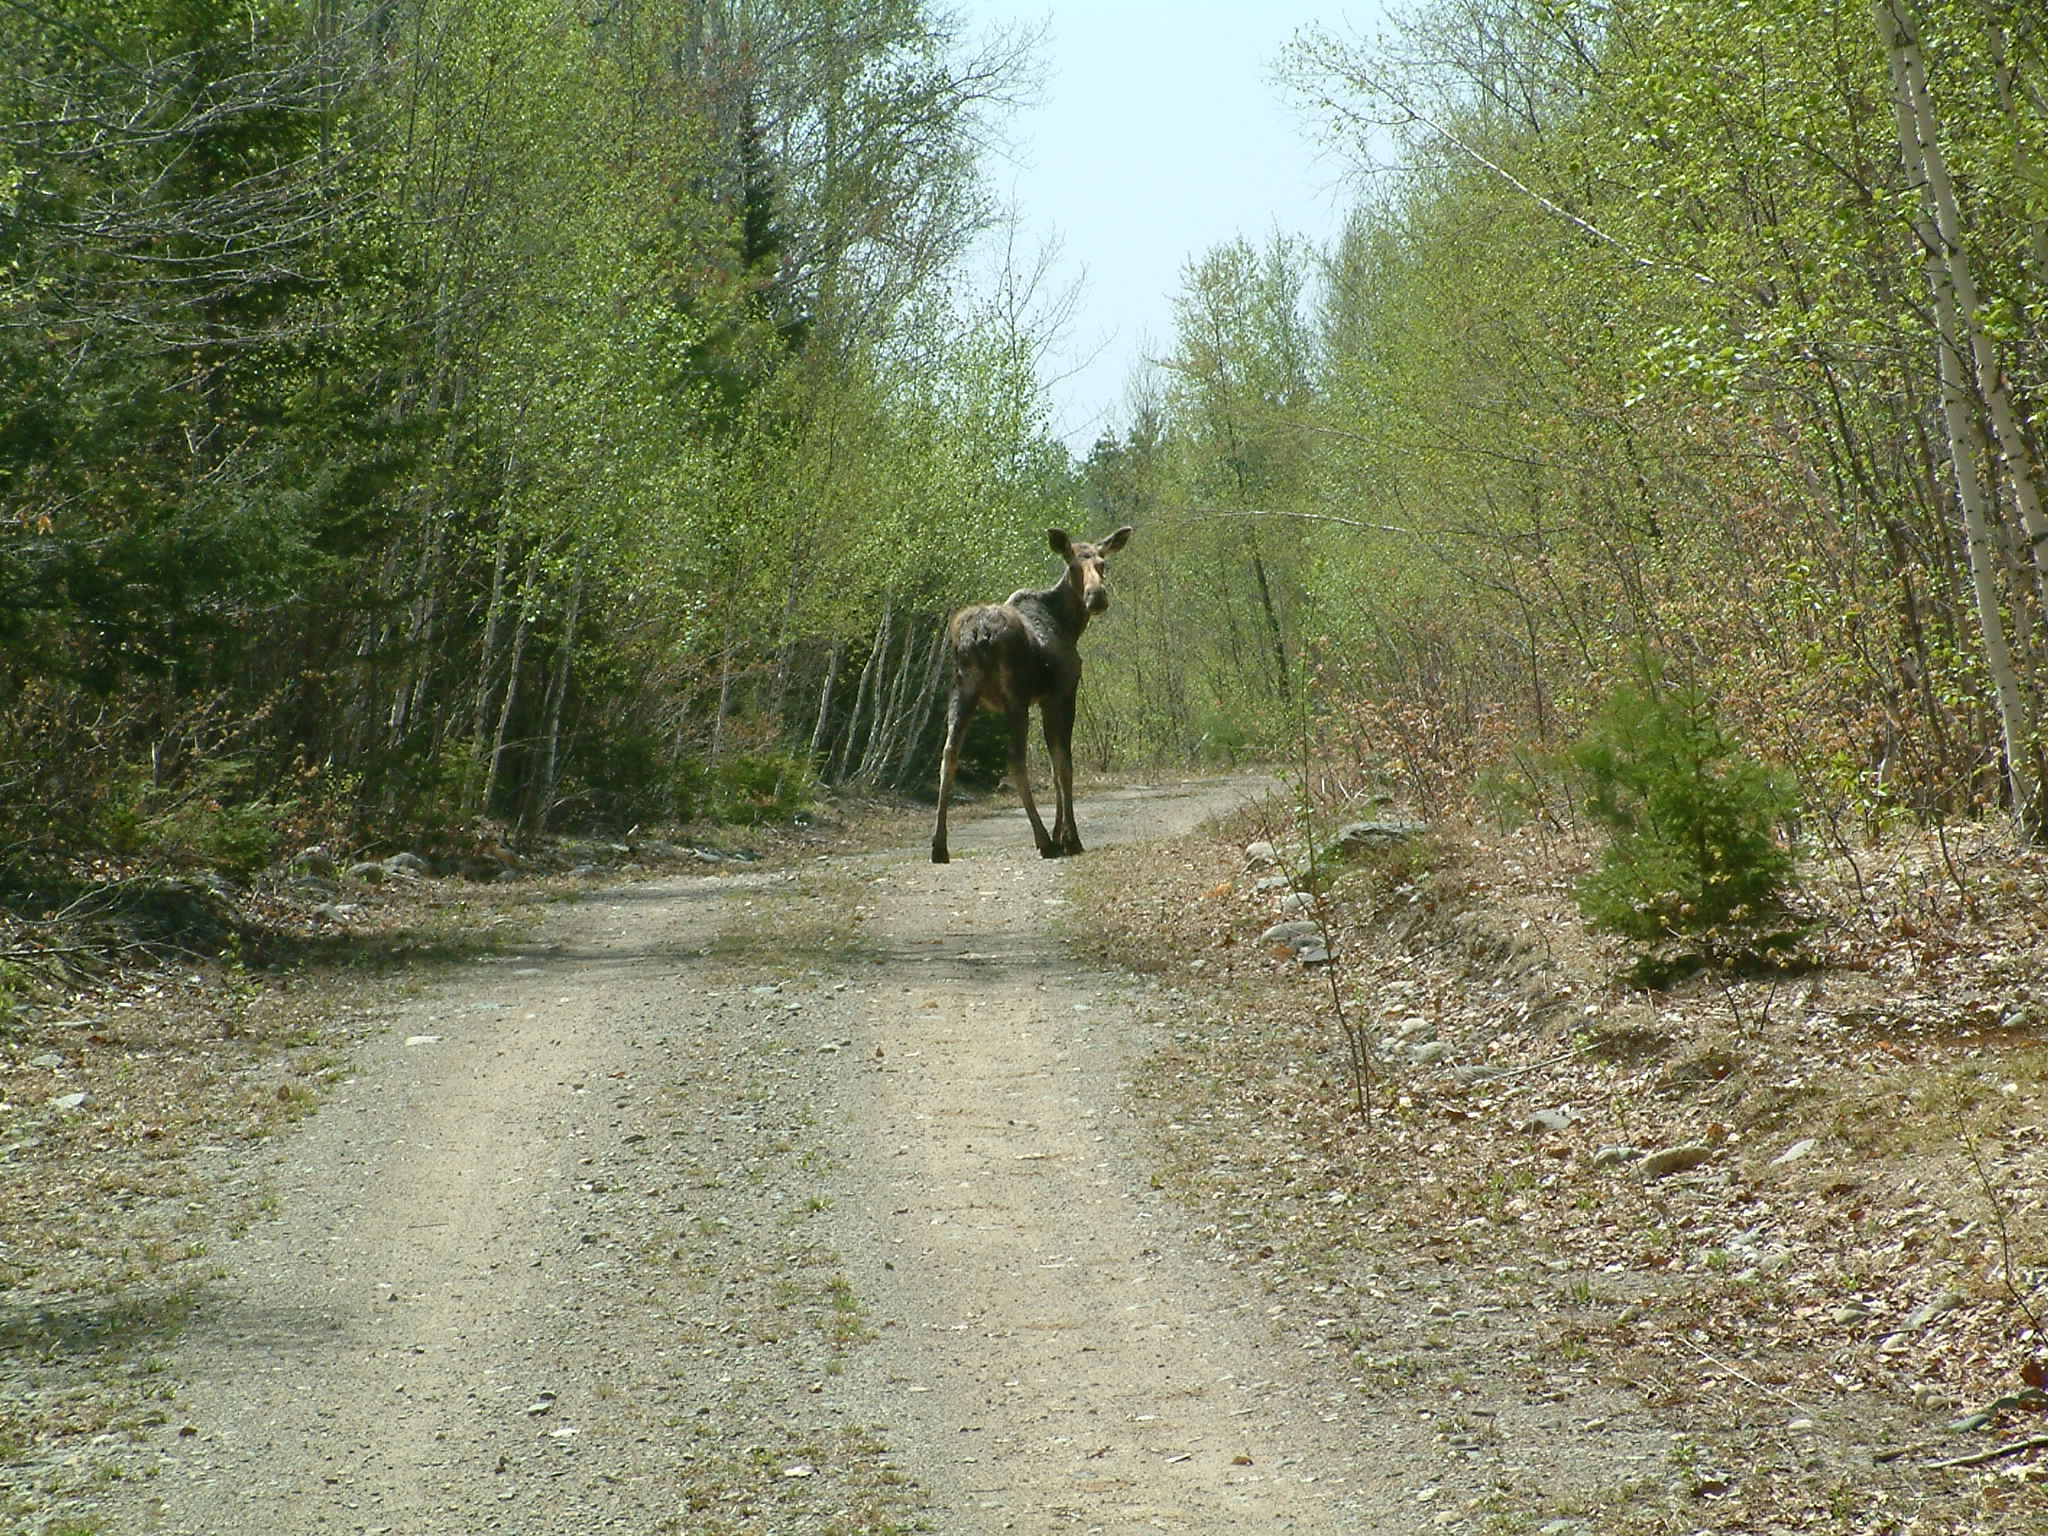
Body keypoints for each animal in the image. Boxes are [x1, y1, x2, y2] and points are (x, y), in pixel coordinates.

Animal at [931, 526, 1133, 864]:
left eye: (1103, 564)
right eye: (1073, 565)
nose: (1097, 597)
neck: (1070, 626)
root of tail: (979, 635)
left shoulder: (1042, 699)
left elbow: (1054, 766)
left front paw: (1060, 832)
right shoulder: (1061, 693)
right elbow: (1063, 764)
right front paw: (1068, 838)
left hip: (962, 691)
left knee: (949, 753)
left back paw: (938, 845)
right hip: (1014, 697)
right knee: (1015, 759)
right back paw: (1043, 841)